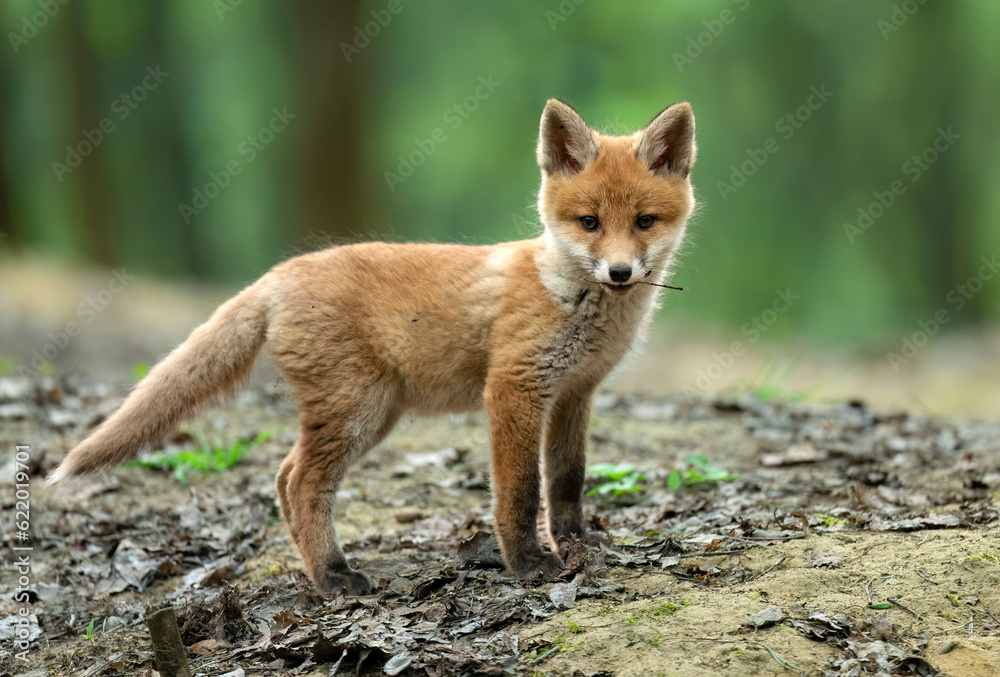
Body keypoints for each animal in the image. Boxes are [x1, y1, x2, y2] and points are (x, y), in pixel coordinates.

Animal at [47, 97, 696, 596]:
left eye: (643, 221)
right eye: (589, 222)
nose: (619, 272)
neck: (569, 298)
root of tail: (277, 274)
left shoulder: (573, 394)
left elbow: (566, 482)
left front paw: (580, 543)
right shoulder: (514, 389)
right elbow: (518, 492)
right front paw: (530, 564)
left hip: (372, 415)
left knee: (283, 476)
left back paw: (317, 570)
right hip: (356, 410)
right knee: (303, 483)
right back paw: (335, 576)